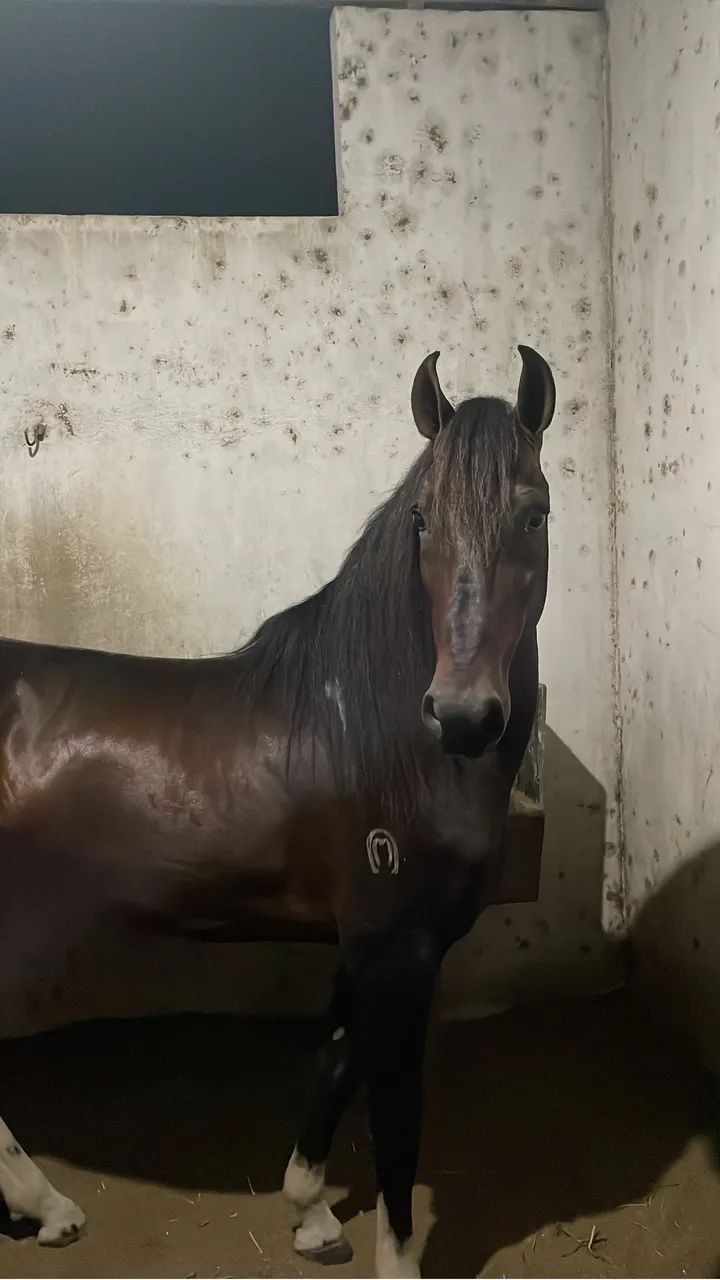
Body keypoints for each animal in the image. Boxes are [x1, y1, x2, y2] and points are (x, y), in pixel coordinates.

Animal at [0, 344, 555, 1278]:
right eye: (422, 519)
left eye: (536, 515)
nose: (464, 714)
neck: (380, 736)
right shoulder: (399, 950)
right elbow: (396, 1125)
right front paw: (394, 1257)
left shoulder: (376, 944)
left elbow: (331, 1062)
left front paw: (312, 1214)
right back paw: (50, 1207)